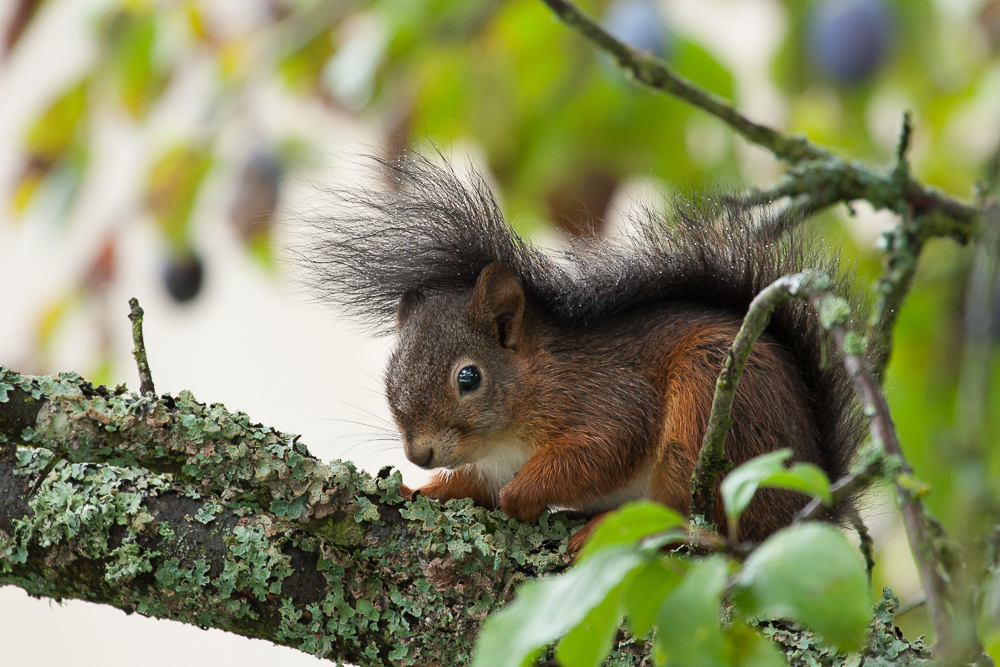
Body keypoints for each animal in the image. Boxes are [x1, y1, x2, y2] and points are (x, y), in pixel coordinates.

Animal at [308, 154, 872, 552]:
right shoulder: (488, 464)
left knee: (712, 525)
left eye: (469, 378)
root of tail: (814, 506)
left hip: (711, 402)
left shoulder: (607, 398)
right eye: (390, 379)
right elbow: (469, 485)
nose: (418, 454)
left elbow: (603, 449)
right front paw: (415, 491)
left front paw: (520, 497)